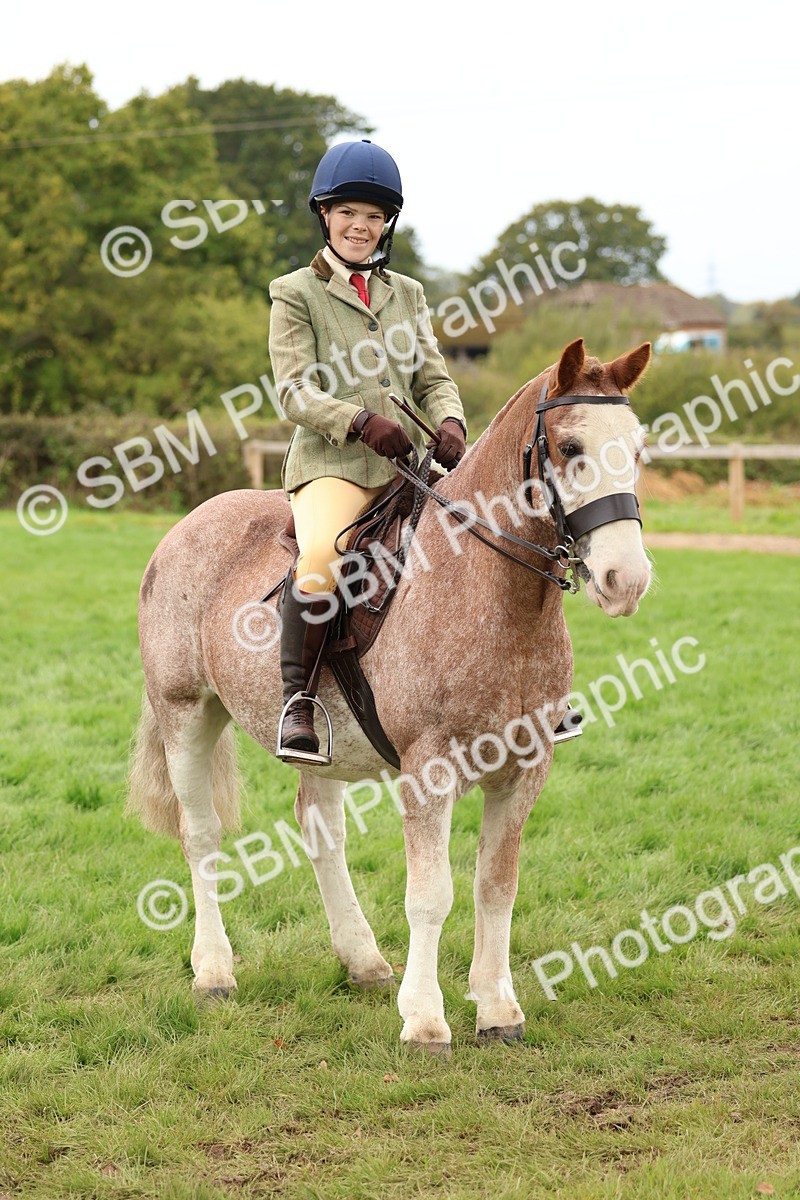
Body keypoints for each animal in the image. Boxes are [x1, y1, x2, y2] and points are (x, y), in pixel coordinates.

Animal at [126, 337, 652, 1056]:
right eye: (571, 447)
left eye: (638, 447)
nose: (627, 580)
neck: (487, 587)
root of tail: (189, 524)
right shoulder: (427, 771)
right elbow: (431, 896)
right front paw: (426, 1021)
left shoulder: (526, 769)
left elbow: (496, 885)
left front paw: (498, 1010)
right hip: (186, 713)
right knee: (200, 833)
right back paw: (213, 971)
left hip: (318, 745)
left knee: (318, 827)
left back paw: (363, 961)